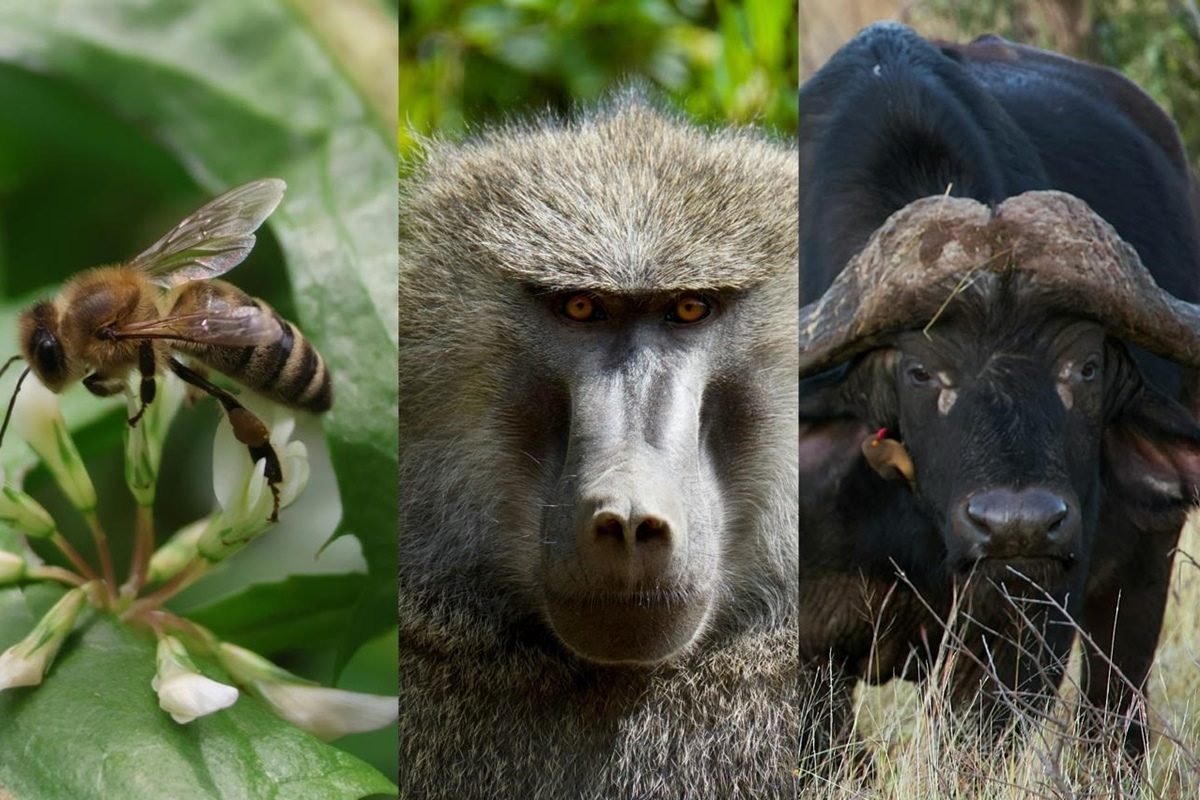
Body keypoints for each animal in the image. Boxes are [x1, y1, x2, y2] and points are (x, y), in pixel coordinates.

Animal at [798, 22, 1200, 760]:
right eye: (920, 372)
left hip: (1143, 575)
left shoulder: (1022, 635)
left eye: (1085, 367)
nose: (1018, 525)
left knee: (1112, 720)